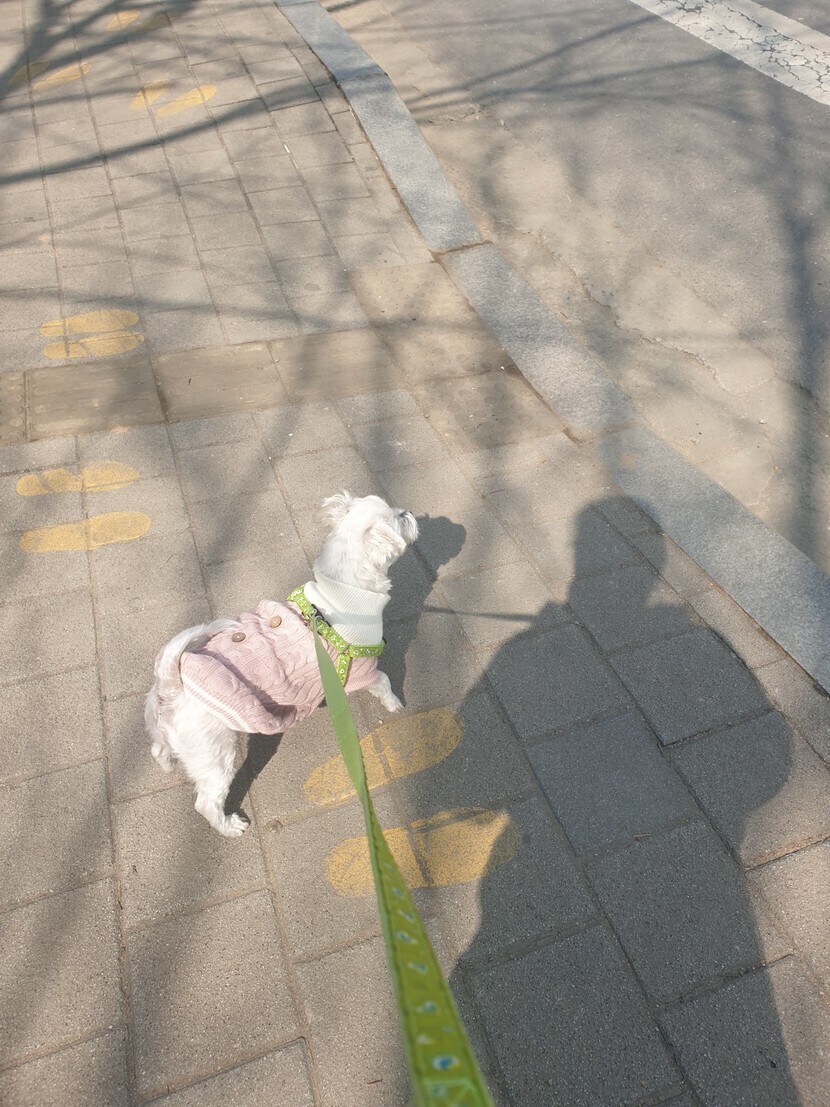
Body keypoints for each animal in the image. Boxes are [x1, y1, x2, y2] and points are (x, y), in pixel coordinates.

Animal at [145, 491, 418, 836]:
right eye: (398, 519)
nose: (408, 510)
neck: (343, 593)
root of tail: (172, 684)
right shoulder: (361, 666)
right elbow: (383, 682)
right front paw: (395, 703)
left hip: (163, 728)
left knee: (158, 748)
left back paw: (167, 761)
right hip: (213, 753)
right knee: (206, 802)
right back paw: (231, 826)